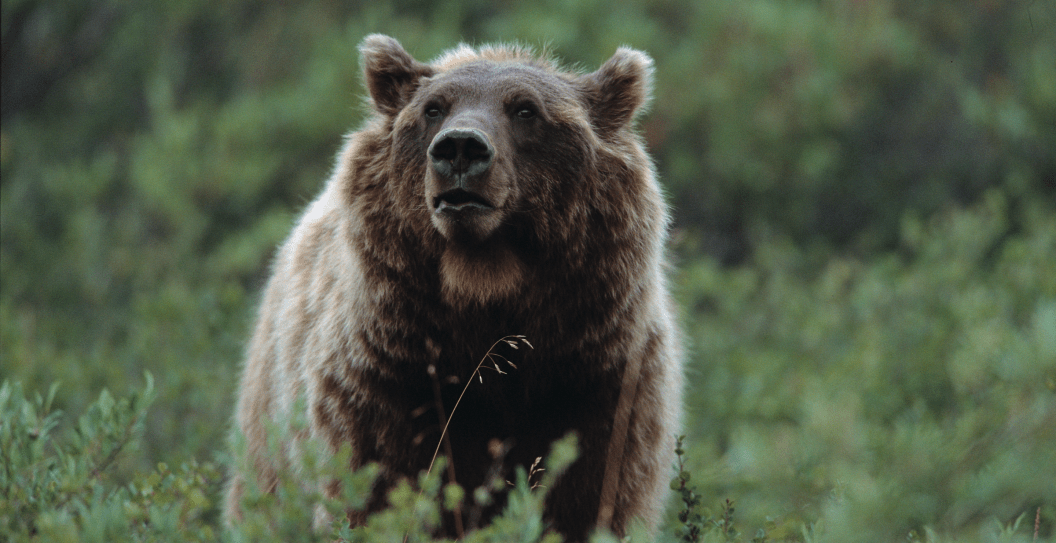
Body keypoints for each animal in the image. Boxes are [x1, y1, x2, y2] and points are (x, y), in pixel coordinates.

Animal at [225, 34, 682, 541]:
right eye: (433, 109)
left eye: (525, 109)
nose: (460, 147)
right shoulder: (385, 382)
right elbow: (377, 491)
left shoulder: (596, 380)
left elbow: (588, 498)